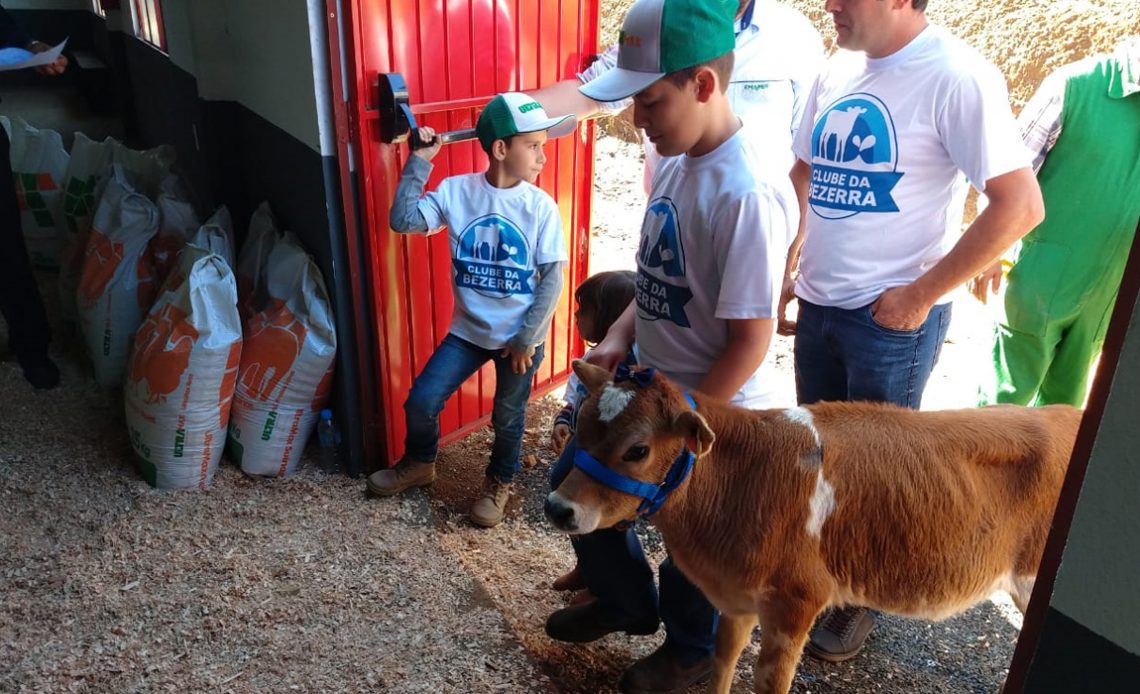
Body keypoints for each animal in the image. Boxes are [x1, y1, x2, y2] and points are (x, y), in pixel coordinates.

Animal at [547, 360, 1080, 692]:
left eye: (637, 449)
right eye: (581, 426)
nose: (558, 507)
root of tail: (1069, 415)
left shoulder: (796, 602)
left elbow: (770, 682)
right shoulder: (736, 599)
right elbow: (722, 665)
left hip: (1031, 580)